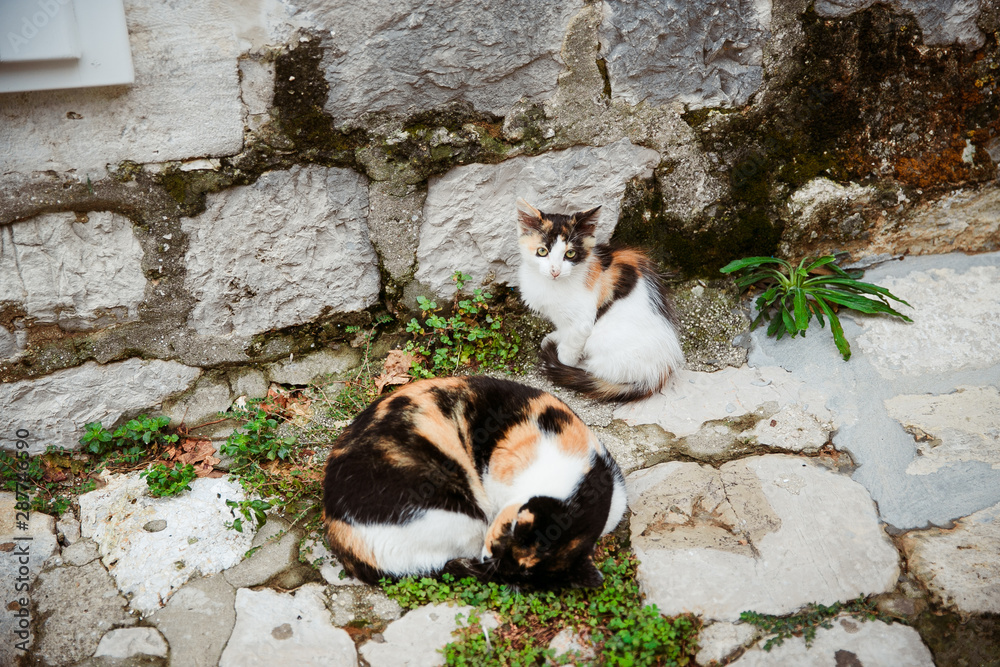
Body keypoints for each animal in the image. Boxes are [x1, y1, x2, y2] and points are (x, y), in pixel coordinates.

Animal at [516, 200, 688, 402]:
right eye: (542, 251)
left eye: (570, 254)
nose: (555, 271)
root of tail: (661, 370)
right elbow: (562, 329)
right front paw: (555, 337)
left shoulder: (582, 323)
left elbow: (569, 349)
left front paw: (562, 361)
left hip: (604, 342)